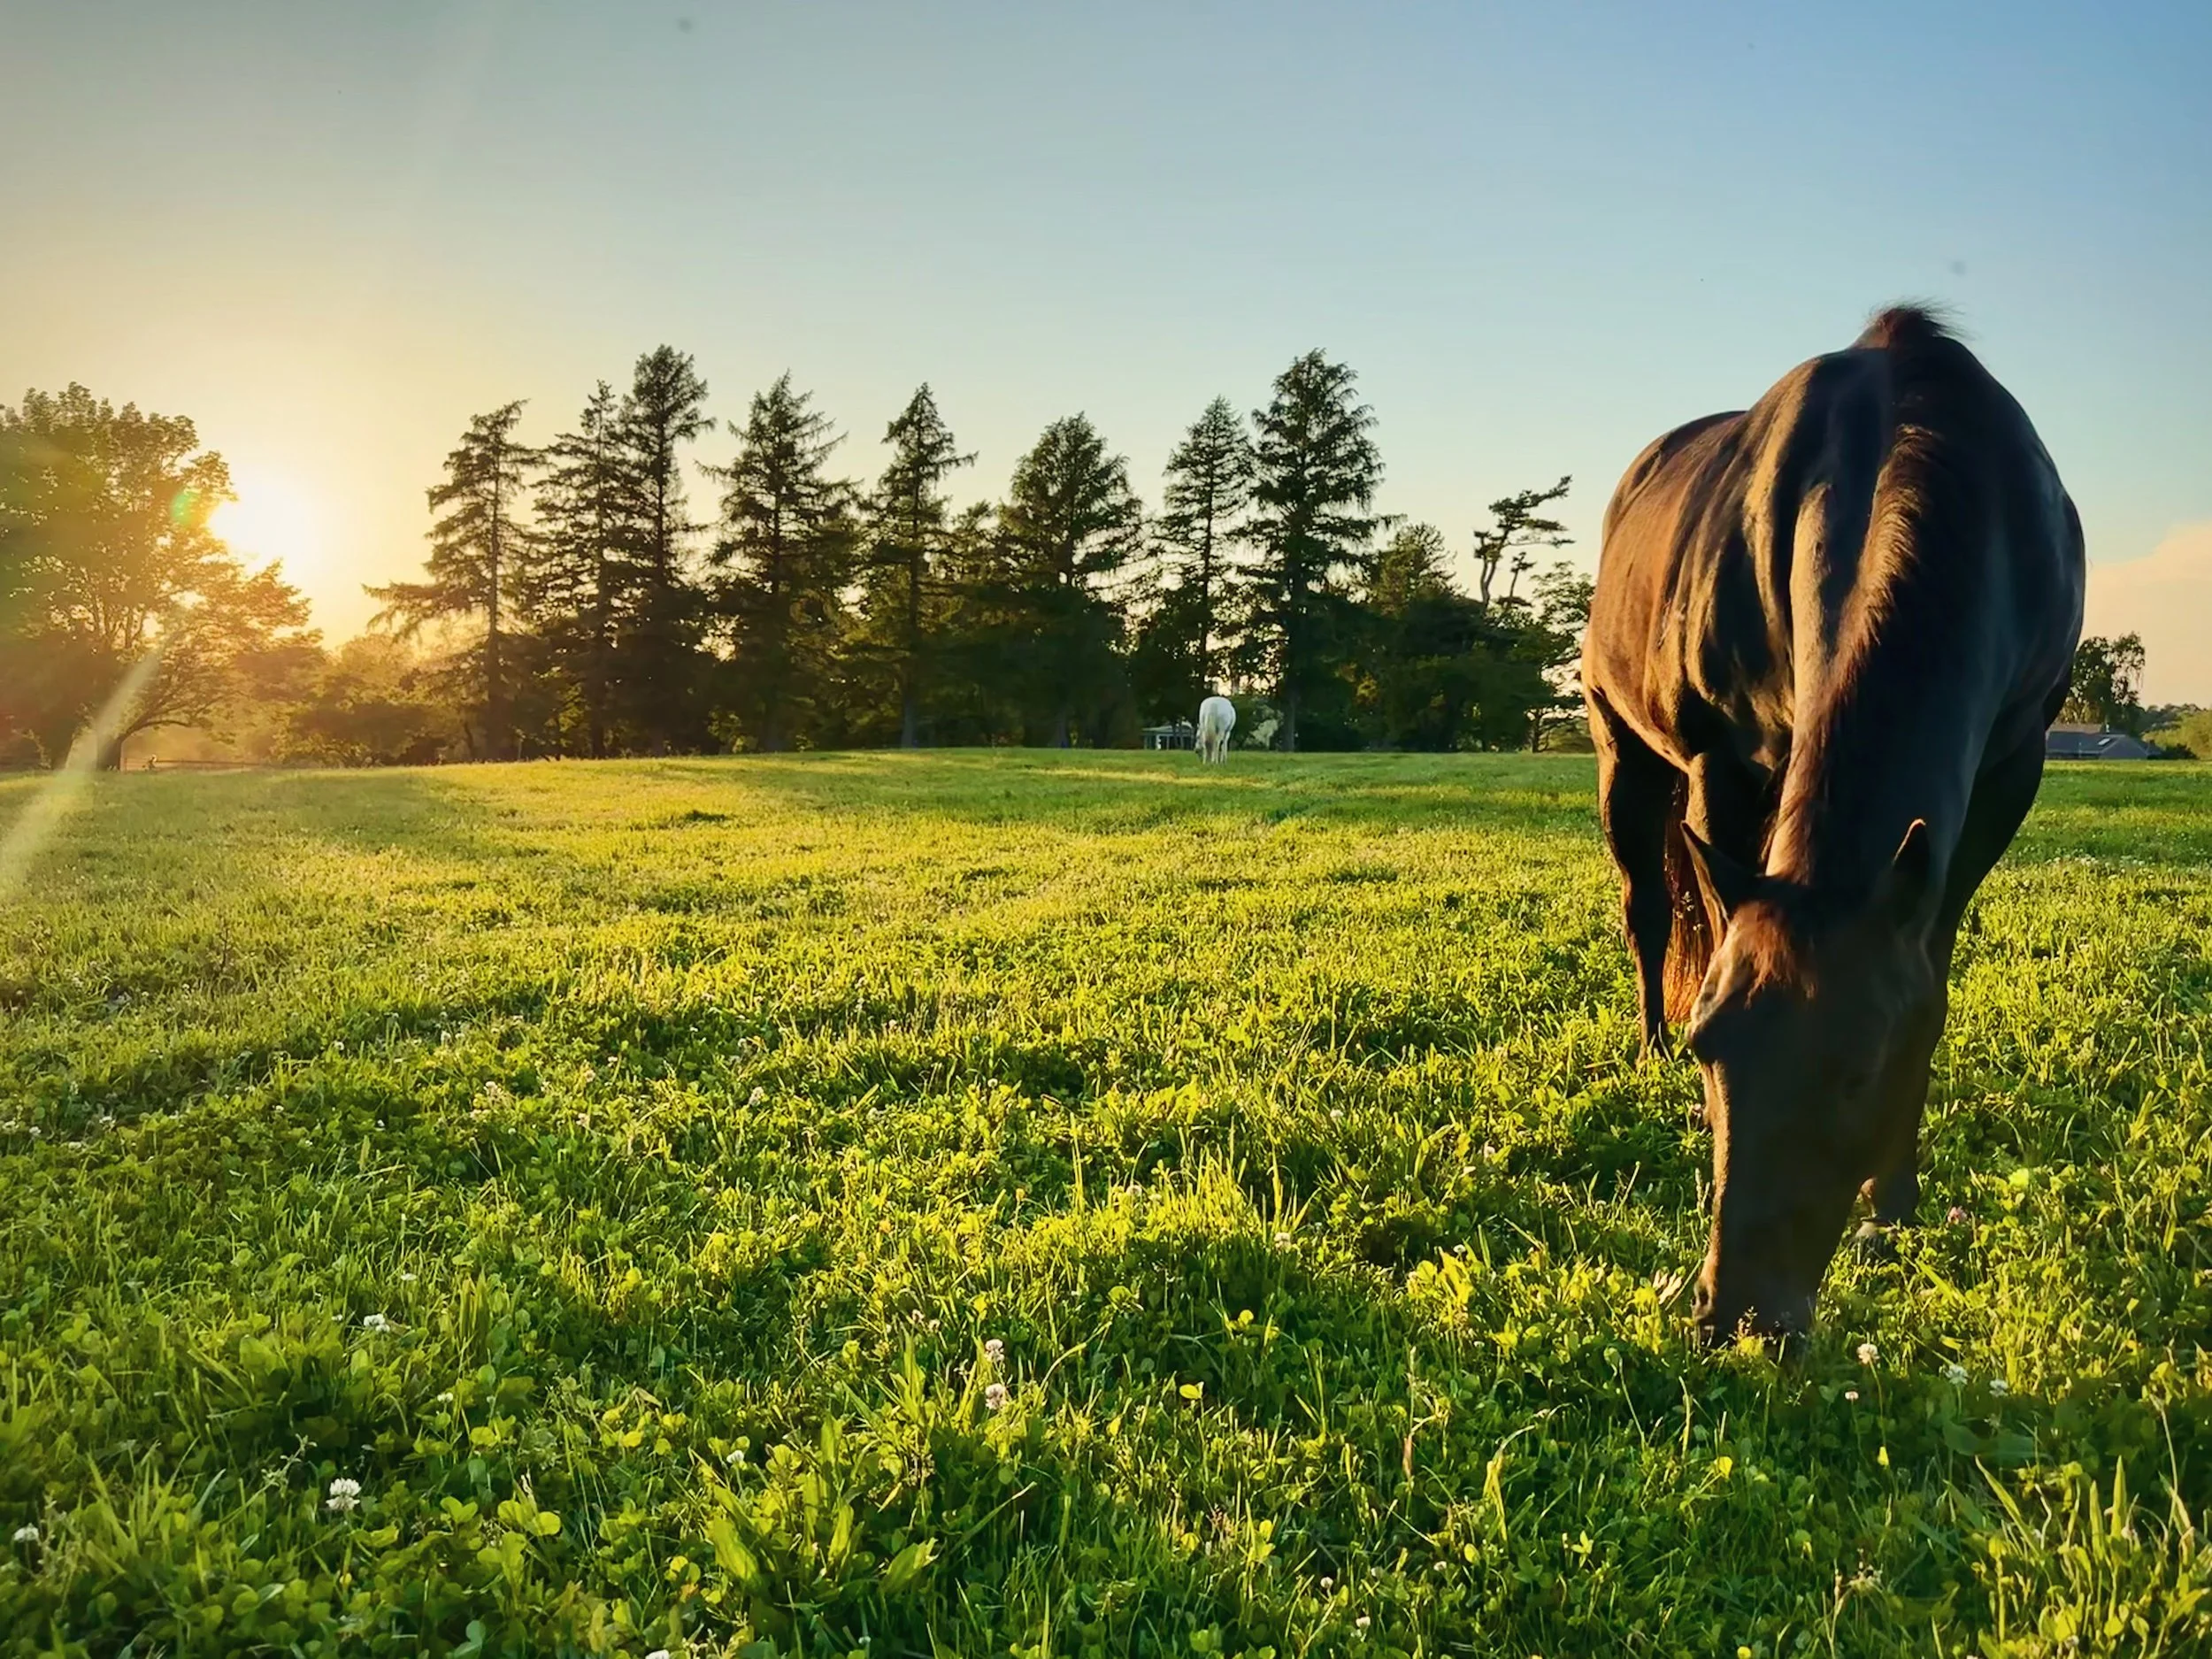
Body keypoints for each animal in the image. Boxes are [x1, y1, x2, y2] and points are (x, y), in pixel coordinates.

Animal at [1582, 306, 2084, 1344]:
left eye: (1860, 1071)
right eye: (1711, 1047)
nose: (1738, 1311)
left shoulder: (2008, 772)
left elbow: (1931, 981)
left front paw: (1894, 1205)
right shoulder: (1720, 763)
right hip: (1627, 754)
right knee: (1646, 906)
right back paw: (1644, 1037)